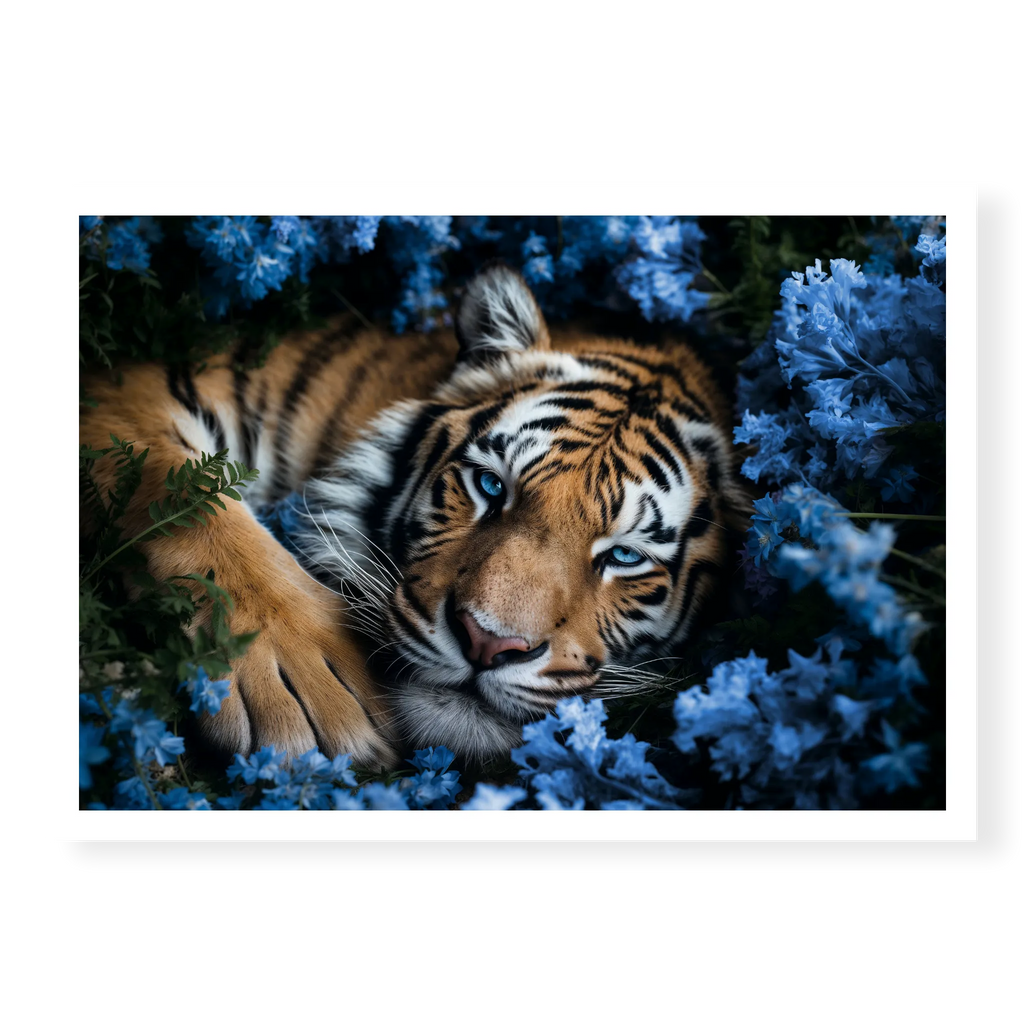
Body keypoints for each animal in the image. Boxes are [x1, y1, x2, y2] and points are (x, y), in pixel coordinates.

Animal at [81, 263, 743, 768]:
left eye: (625, 556)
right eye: (489, 485)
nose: (487, 644)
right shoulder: (140, 386)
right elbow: (187, 499)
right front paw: (301, 682)